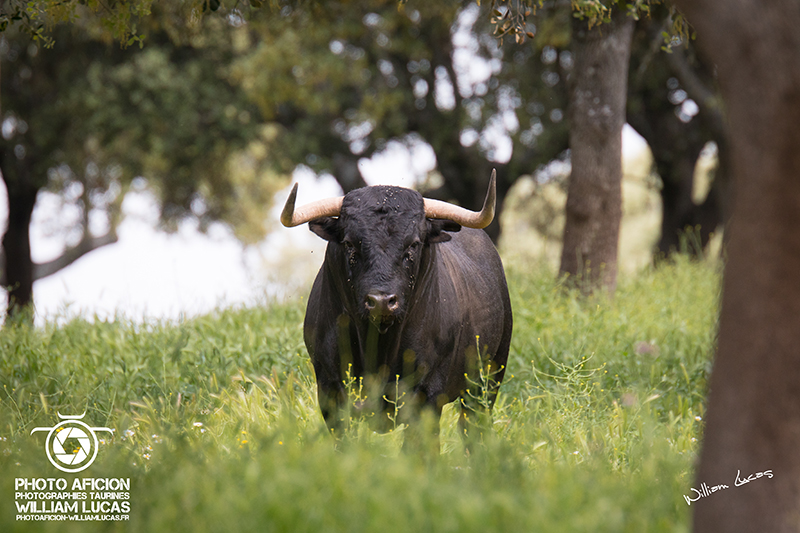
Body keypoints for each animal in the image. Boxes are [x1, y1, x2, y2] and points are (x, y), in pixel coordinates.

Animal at [282, 172, 512, 438]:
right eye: (349, 243)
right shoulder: (329, 389)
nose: (381, 302)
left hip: (488, 380)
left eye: (414, 244)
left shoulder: (428, 394)